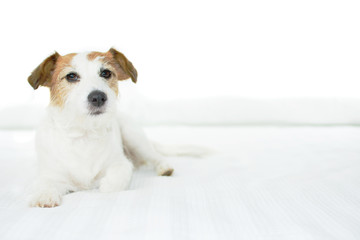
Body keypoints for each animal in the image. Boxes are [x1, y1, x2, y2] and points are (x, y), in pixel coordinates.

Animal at [26, 47, 176, 207]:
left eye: (106, 73)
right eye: (71, 76)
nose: (98, 97)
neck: (85, 134)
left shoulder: (121, 162)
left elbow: (117, 178)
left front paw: (107, 185)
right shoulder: (50, 173)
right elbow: (45, 183)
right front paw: (45, 195)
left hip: (134, 138)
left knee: (155, 156)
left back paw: (165, 168)